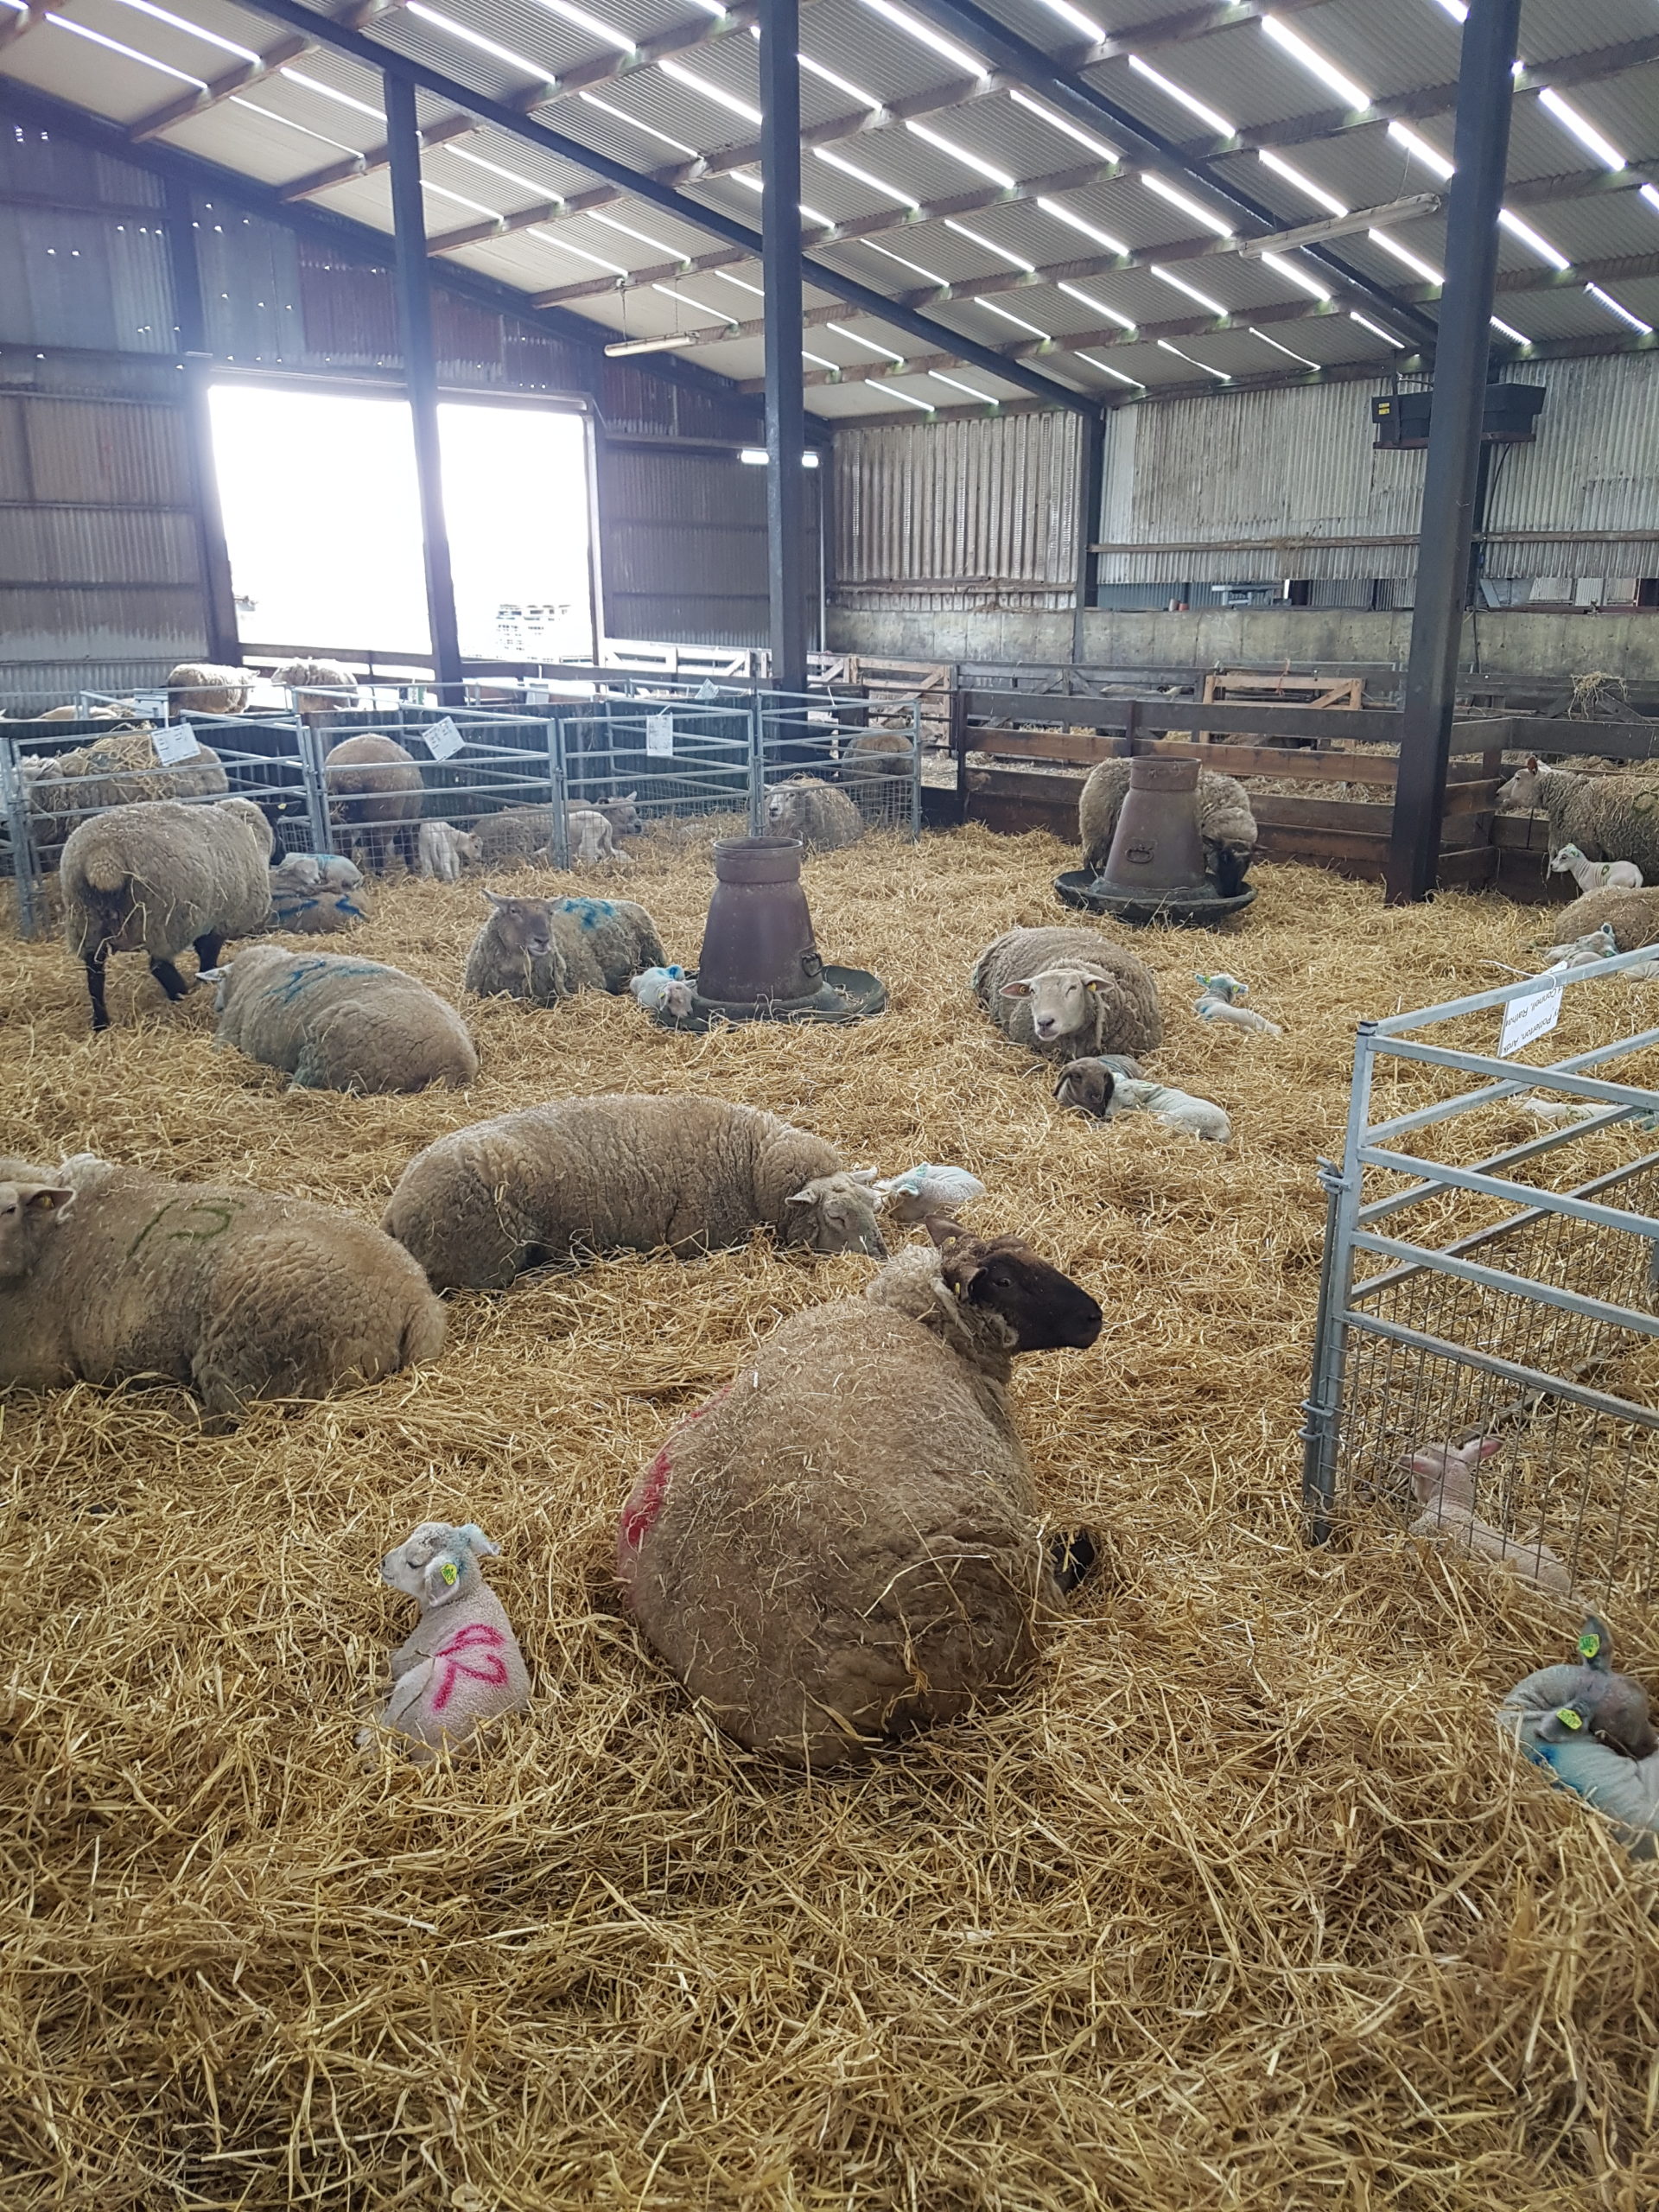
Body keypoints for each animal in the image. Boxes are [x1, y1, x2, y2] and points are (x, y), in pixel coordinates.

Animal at [60, 795, 273, 1033]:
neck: (250, 832)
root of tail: (103, 858)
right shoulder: (220, 920)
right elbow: (208, 954)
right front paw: (205, 981)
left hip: (86, 922)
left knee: (95, 973)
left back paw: (101, 1023)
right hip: (162, 922)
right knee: (159, 966)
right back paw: (181, 994)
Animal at [323, 733, 424, 873]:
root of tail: (349, 773)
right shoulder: (409, 819)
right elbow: (407, 844)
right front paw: (412, 869)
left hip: (340, 817)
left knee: (346, 842)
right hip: (382, 818)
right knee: (377, 847)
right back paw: (379, 873)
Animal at [358, 1522, 530, 1762]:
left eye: (414, 1563)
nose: (383, 1562)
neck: (464, 1596)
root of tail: (439, 1753)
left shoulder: (414, 1648)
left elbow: (393, 1662)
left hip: (418, 1678)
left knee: (387, 1724)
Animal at [382, 1094, 888, 1290]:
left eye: (872, 1206)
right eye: (836, 1217)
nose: (881, 1257)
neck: (750, 1165)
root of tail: (396, 1209)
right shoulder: (695, 1239)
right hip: (489, 1257)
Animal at [1079, 758, 1258, 894]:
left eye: (1248, 861)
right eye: (1224, 857)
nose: (1231, 893)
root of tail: (1104, 764)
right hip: (1096, 830)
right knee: (1090, 858)